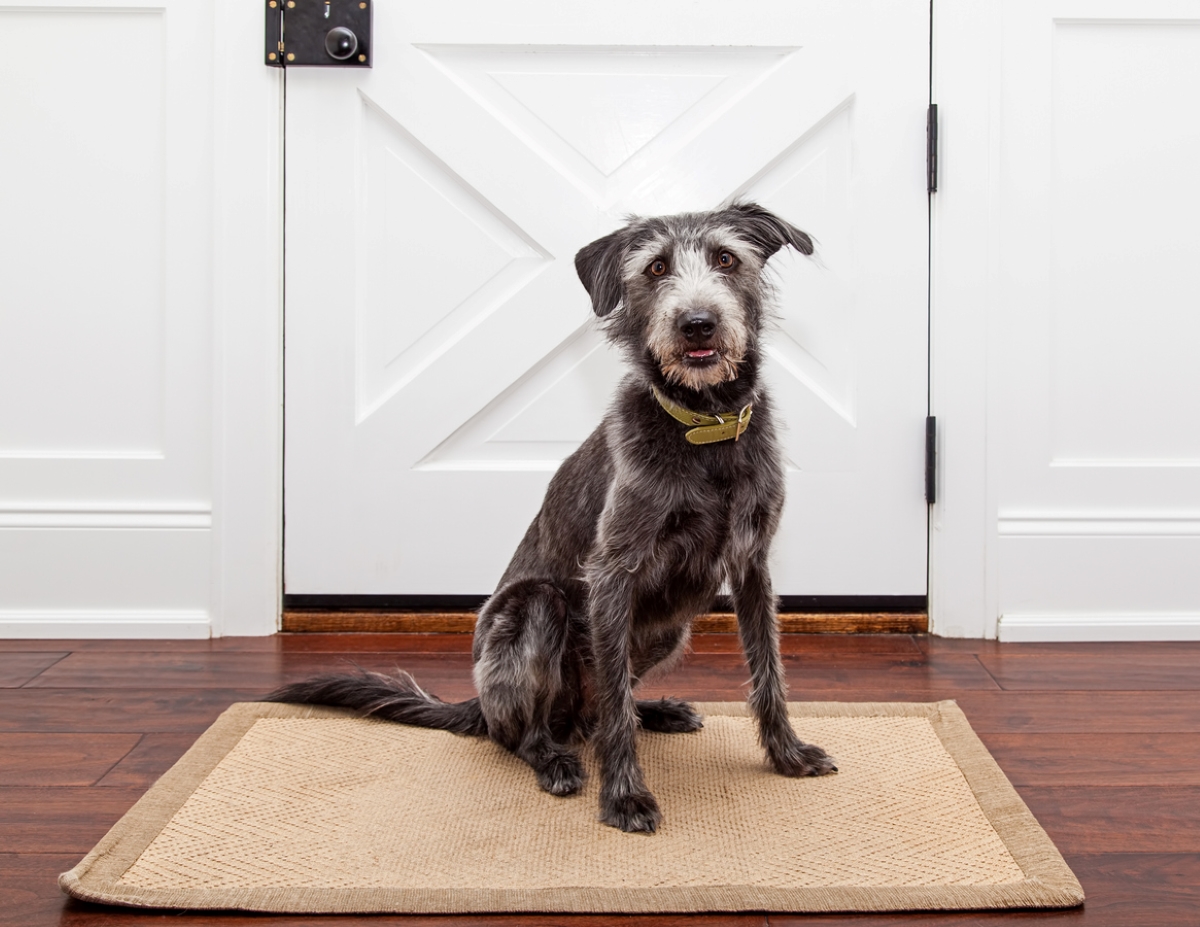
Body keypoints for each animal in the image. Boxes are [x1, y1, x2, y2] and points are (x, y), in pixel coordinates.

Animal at [268, 200, 840, 830]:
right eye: (657, 267)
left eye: (726, 259)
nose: (697, 323)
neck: (703, 430)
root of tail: (478, 705)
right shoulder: (614, 573)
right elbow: (615, 703)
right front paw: (623, 796)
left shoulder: (751, 565)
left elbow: (768, 672)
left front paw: (787, 755)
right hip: (535, 612)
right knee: (530, 731)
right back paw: (556, 761)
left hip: (670, 628)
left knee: (603, 705)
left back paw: (656, 712)